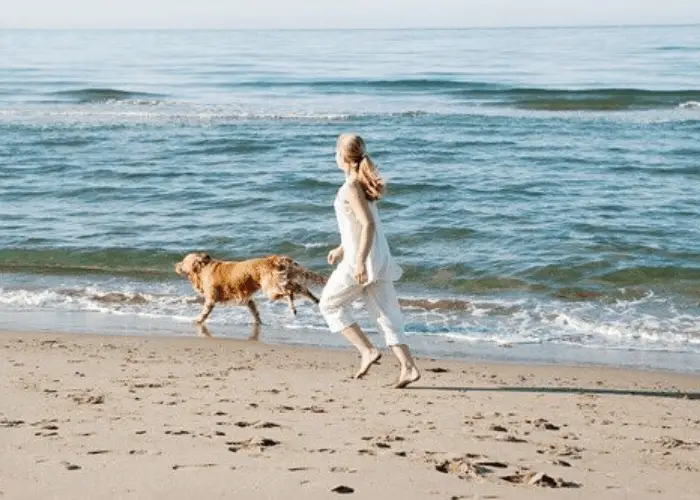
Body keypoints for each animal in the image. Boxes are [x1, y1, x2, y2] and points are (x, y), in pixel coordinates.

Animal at [175, 254, 328, 324]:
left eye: (183, 262)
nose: (175, 265)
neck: (203, 269)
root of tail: (274, 259)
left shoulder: (211, 299)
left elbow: (204, 313)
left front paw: (198, 320)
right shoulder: (247, 300)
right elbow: (255, 312)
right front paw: (259, 323)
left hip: (270, 288)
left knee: (289, 292)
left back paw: (293, 307)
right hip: (280, 282)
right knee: (300, 288)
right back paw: (315, 300)